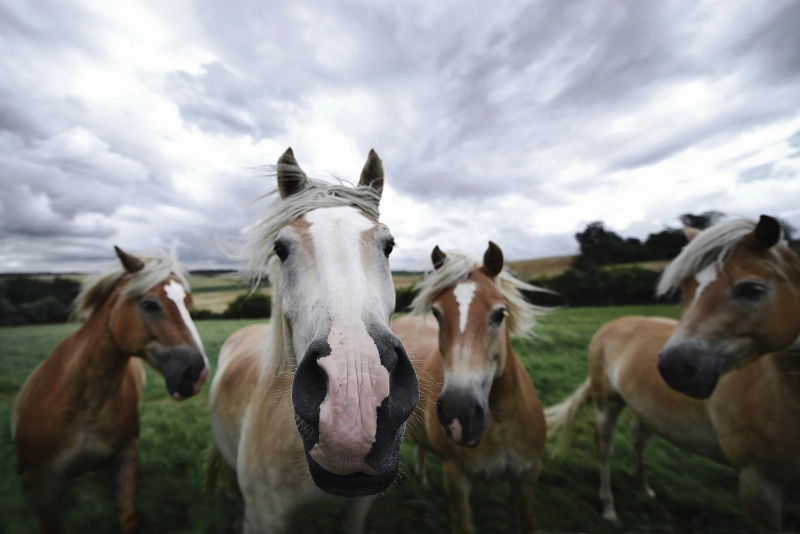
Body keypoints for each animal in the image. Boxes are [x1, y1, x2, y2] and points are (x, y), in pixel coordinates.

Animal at [12, 246, 209, 534]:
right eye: (149, 304)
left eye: (188, 303)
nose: (196, 373)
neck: (86, 403)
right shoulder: (43, 486)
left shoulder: (126, 458)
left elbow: (127, 517)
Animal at [391, 242, 547, 534]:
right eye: (437, 313)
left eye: (500, 313)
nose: (459, 413)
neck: (502, 423)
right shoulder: (456, 478)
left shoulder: (527, 476)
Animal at [546, 215, 800, 531]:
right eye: (686, 288)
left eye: (752, 289)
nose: (673, 368)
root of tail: (614, 324)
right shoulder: (758, 484)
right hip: (607, 404)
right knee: (605, 449)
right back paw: (609, 509)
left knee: (638, 437)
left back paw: (643, 487)